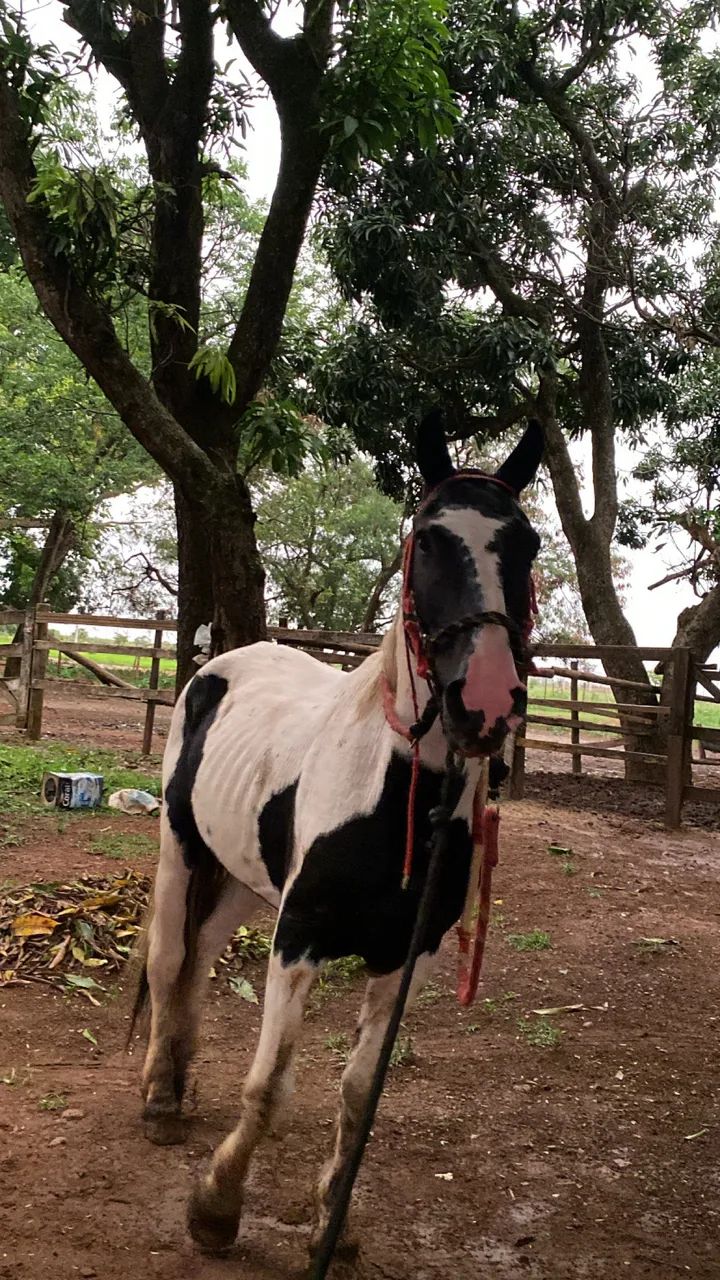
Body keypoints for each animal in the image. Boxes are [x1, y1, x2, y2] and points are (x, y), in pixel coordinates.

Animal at [132, 409, 542, 1257]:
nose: (485, 702)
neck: (397, 797)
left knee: (200, 959)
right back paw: (157, 1099)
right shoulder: (301, 936)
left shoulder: (406, 956)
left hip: (246, 878)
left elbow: (358, 1096)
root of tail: (221, 661)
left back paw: (180, 1081)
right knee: (168, 958)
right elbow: (270, 1086)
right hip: (182, 848)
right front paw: (216, 1208)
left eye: (528, 545)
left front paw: (333, 1224)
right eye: (429, 538)